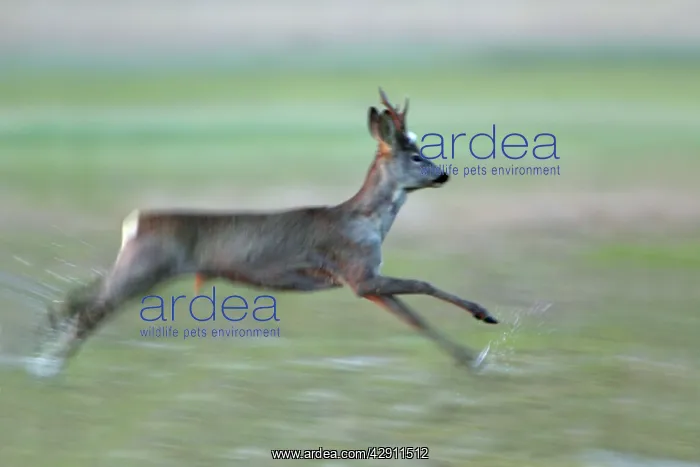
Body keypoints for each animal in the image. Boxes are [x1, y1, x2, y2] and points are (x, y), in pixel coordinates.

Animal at [27, 88, 499, 378]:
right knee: (92, 310)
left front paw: (472, 359)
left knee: (81, 297)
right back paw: (48, 367)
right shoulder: (357, 273)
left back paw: (45, 341)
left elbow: (416, 320)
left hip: (139, 265)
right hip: (147, 266)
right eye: (418, 155)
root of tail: (136, 220)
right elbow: (424, 284)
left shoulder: (365, 283)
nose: (444, 175)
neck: (366, 221)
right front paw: (484, 318)